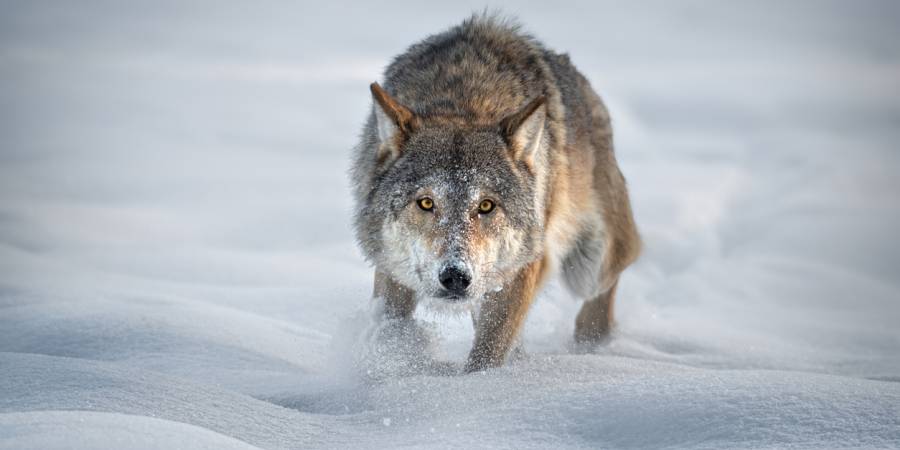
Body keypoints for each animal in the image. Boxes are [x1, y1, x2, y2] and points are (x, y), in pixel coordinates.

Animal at [352, 14, 640, 372]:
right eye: (426, 202)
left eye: (486, 206)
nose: (456, 277)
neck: (465, 102)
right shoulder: (393, 268)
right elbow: (393, 326)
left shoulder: (522, 268)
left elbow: (487, 353)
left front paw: (482, 384)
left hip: (589, 266)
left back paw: (590, 347)